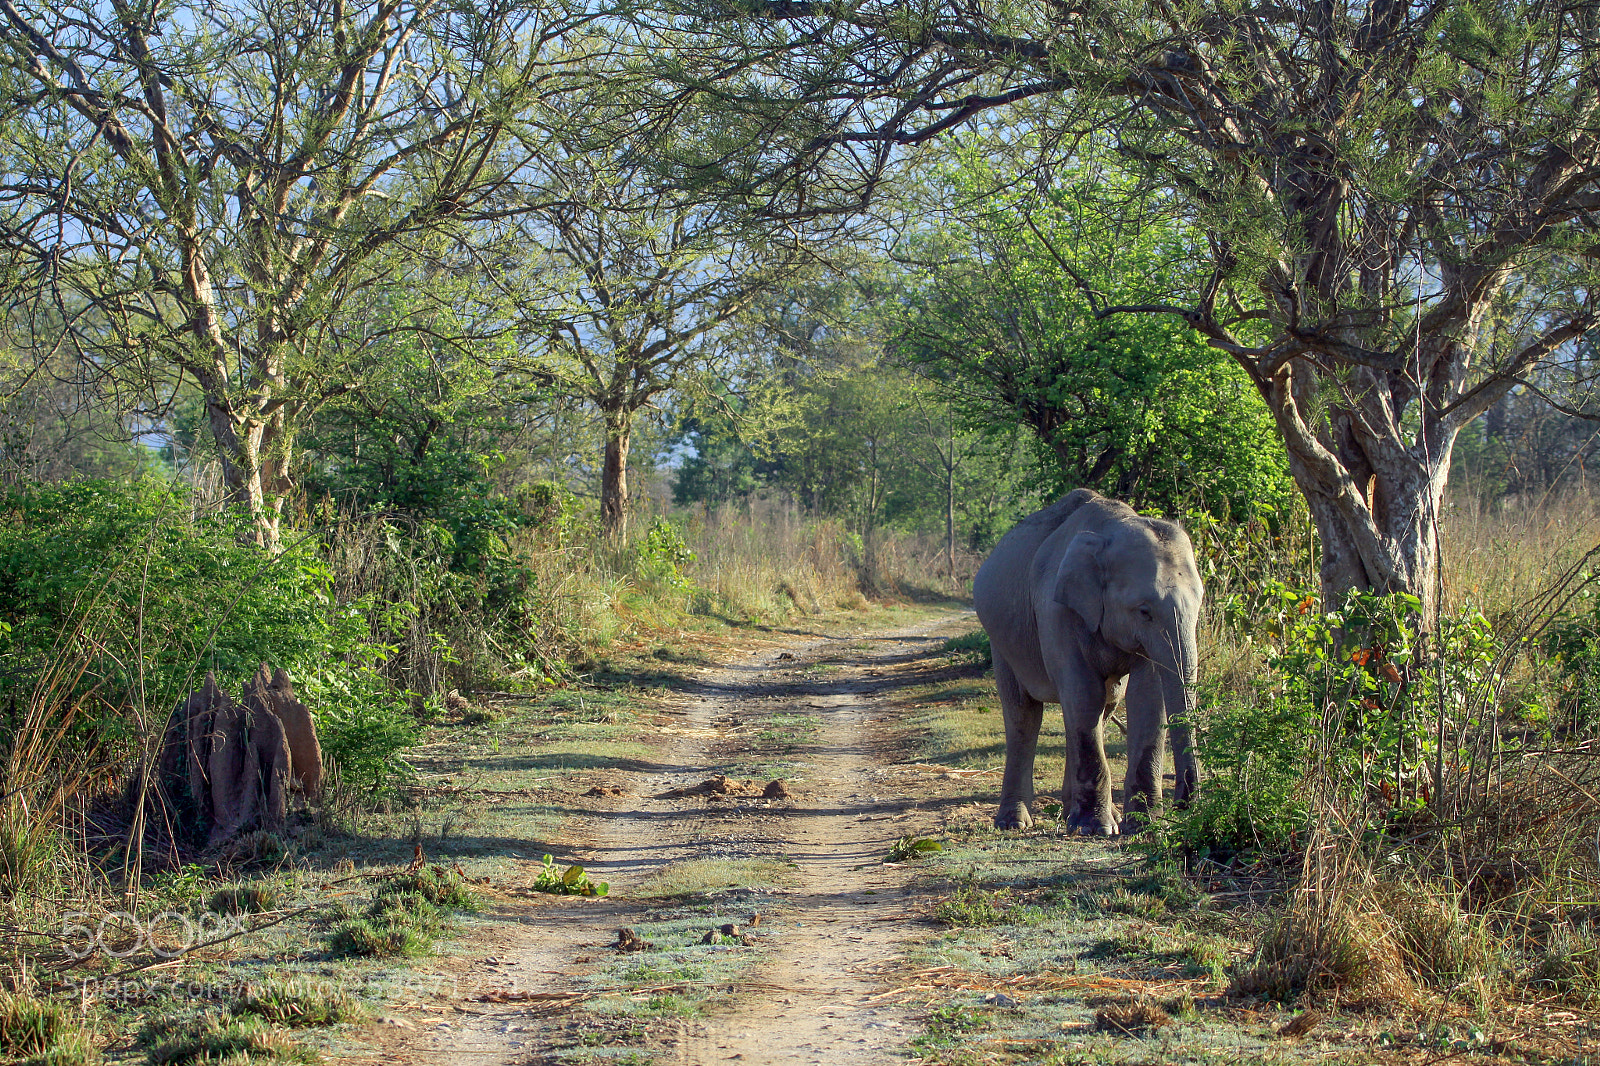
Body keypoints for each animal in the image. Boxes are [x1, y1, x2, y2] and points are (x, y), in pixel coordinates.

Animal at [973, 489, 1203, 835]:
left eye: (1200, 604)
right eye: (1144, 611)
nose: (1184, 805)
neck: (1114, 527)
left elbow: (1147, 697)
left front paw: (1143, 824)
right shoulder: (1056, 611)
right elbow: (1083, 694)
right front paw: (1096, 829)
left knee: (1106, 703)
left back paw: (1078, 815)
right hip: (1001, 641)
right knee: (1024, 714)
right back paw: (1015, 823)